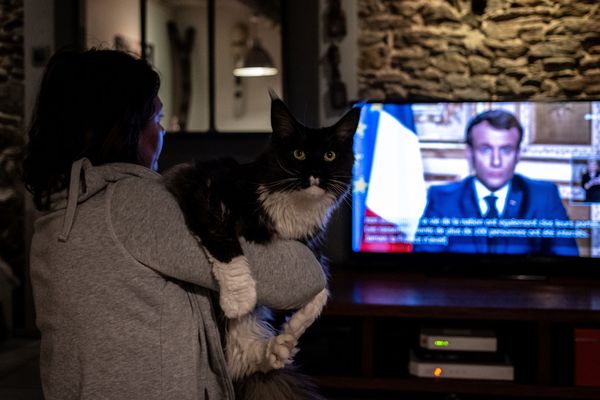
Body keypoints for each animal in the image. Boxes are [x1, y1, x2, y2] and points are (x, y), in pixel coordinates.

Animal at [163, 92, 360, 398]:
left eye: (330, 156)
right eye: (299, 154)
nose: (315, 175)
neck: (293, 209)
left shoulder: (309, 249)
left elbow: (323, 286)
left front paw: (294, 326)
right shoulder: (199, 185)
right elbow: (224, 242)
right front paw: (239, 298)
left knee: (244, 359)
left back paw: (279, 348)